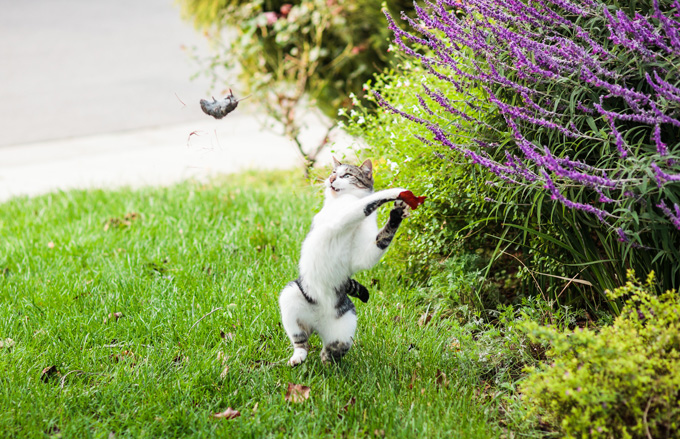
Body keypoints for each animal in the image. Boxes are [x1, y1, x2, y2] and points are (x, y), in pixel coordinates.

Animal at [278, 158, 410, 368]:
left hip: (346, 324)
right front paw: (394, 191)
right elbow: (364, 205)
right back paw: (298, 357)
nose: (331, 178)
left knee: (335, 346)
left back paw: (327, 360)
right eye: (333, 172)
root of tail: (317, 325)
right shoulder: (342, 217)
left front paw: (397, 213)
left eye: (347, 175)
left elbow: (381, 239)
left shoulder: (364, 252)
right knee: (300, 339)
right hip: (291, 297)